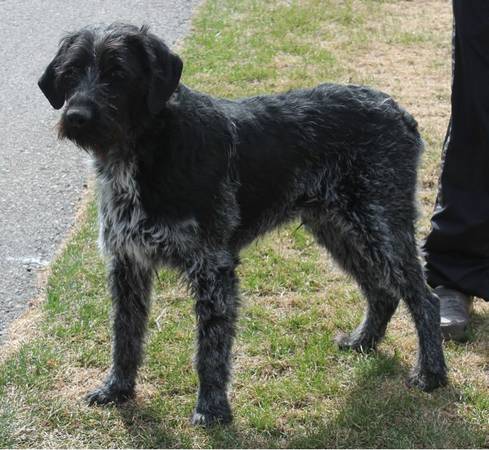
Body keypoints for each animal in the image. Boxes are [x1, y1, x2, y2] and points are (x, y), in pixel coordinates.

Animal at [39, 23, 446, 426]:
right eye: (70, 73)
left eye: (118, 73)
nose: (77, 116)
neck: (147, 150)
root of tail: (398, 111)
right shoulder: (128, 263)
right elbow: (125, 336)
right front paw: (118, 390)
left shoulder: (212, 268)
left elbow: (211, 348)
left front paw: (211, 407)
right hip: (339, 231)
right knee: (381, 291)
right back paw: (364, 341)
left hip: (382, 228)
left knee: (425, 299)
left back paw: (431, 373)